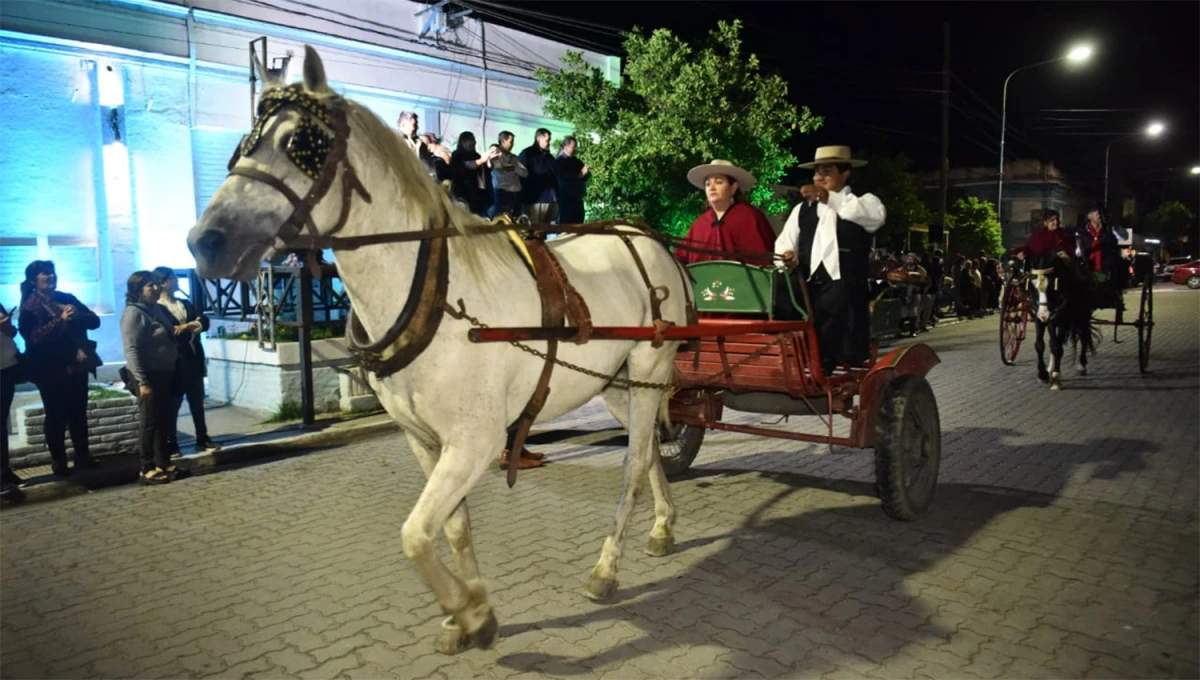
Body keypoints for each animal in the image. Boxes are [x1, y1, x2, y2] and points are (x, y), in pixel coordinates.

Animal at [188, 45, 696, 652]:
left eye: (299, 144)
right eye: (244, 144)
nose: (205, 242)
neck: (436, 293)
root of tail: (650, 240)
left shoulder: (475, 441)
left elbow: (414, 534)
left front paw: (469, 609)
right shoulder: (425, 440)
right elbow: (449, 526)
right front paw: (472, 611)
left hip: (650, 366)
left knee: (635, 461)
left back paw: (605, 567)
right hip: (619, 383)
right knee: (648, 455)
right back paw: (664, 525)